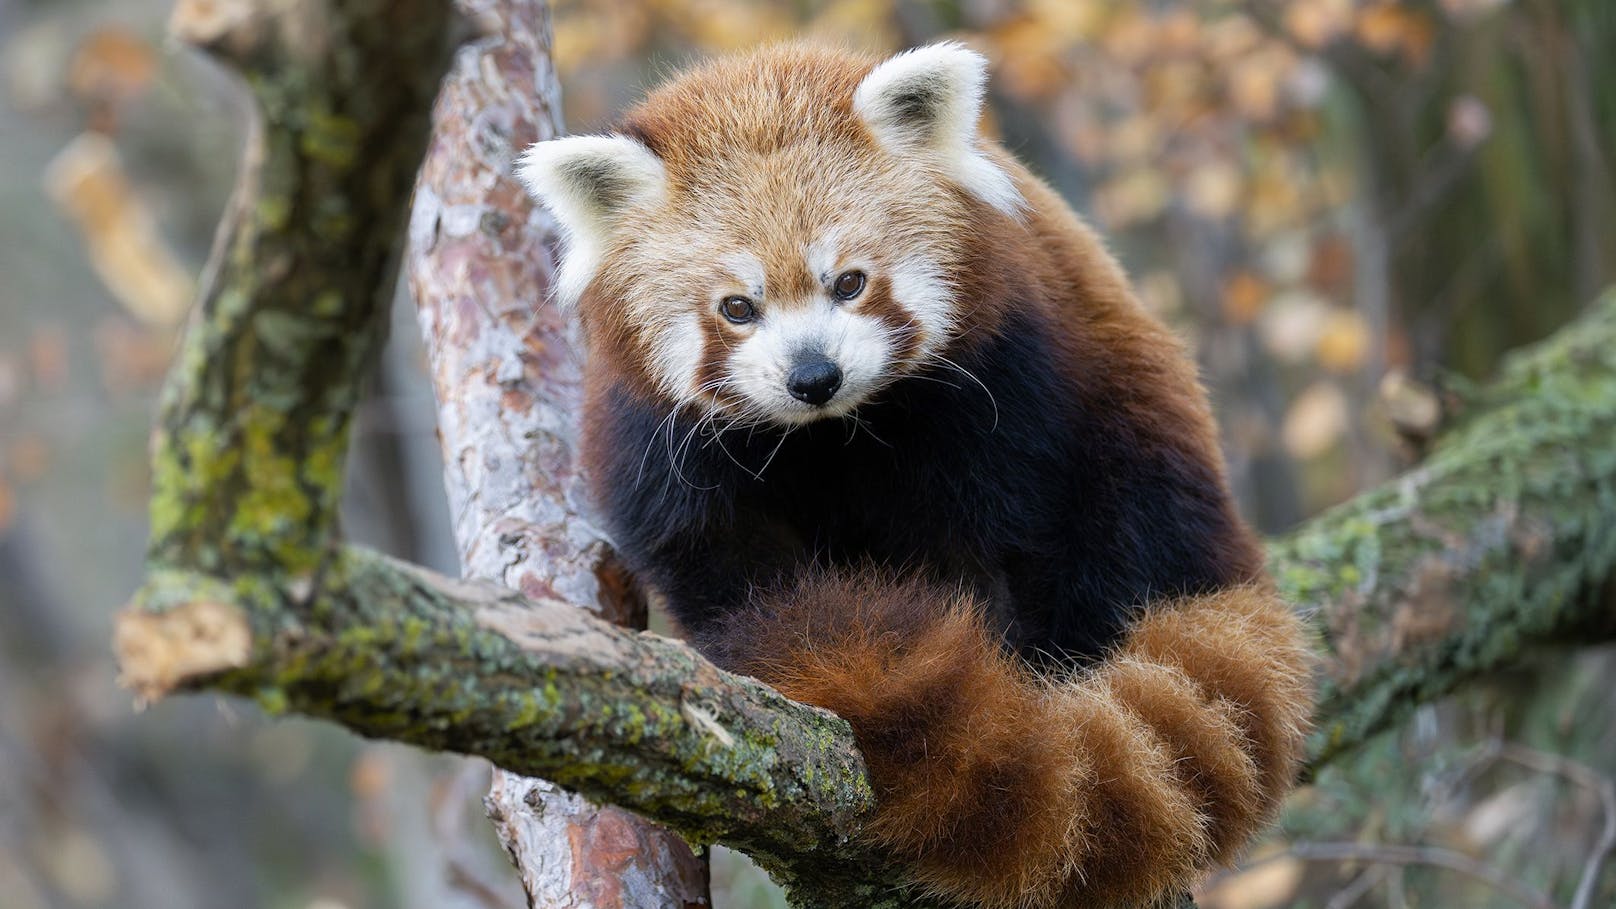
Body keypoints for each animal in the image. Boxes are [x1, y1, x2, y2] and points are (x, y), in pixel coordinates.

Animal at [517, 40, 1312, 905]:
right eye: (737, 307)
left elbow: (981, 543)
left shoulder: (1003, 379)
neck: (829, 436)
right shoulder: (659, 440)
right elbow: (716, 560)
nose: (813, 375)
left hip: (1137, 448)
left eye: (849, 282)